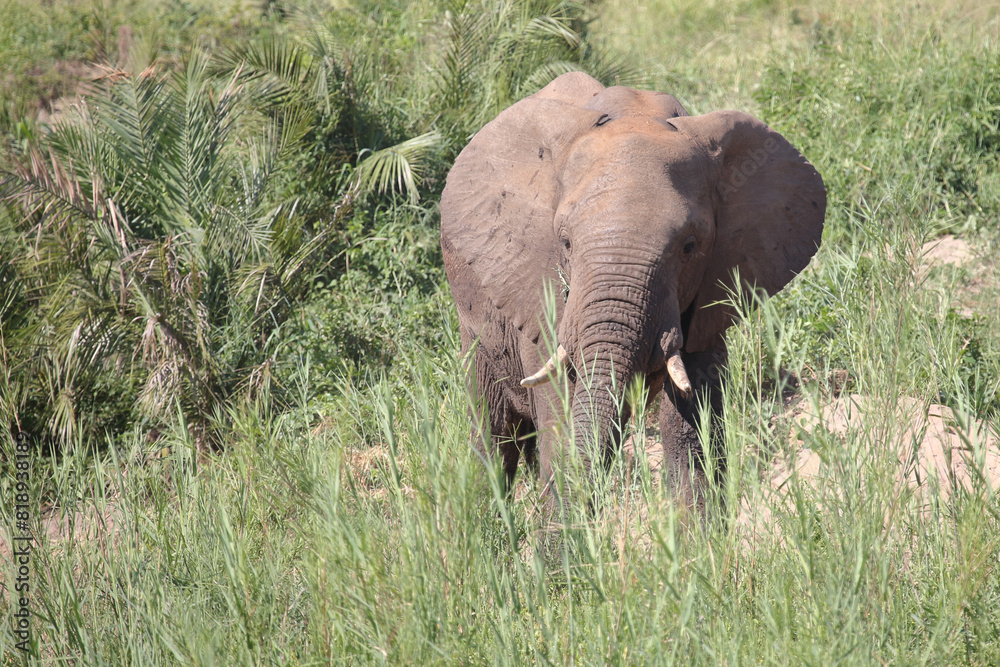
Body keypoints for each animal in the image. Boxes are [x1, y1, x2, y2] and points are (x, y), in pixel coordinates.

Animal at [440, 71, 825, 511]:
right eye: (565, 242)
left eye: (689, 246)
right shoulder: (541, 292)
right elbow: (562, 427)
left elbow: (693, 432)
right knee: (493, 434)